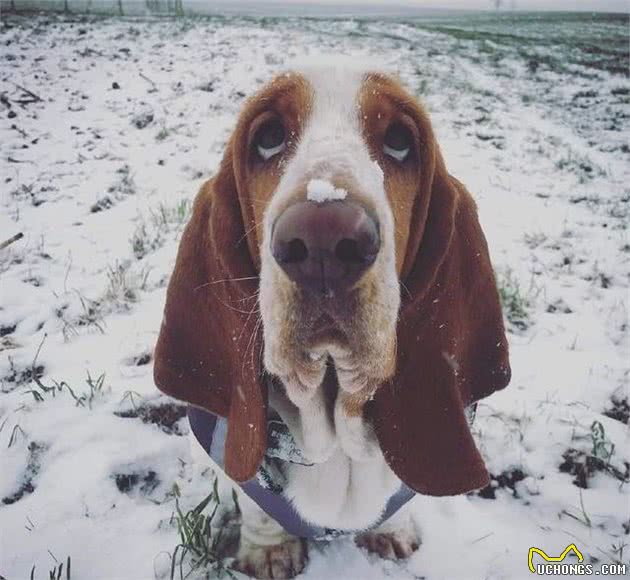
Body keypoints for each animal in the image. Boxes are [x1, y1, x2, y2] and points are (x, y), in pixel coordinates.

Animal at [154, 61, 512, 576]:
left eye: (400, 140)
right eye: (268, 137)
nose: (323, 239)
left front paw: (391, 534)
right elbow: (256, 502)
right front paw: (269, 552)